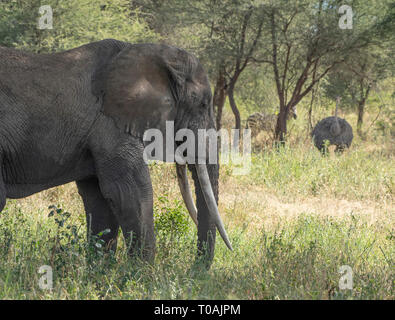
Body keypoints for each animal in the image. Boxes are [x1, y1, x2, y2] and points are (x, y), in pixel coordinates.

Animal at [0, 38, 232, 266]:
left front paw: (101, 270)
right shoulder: (111, 124)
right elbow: (129, 192)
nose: (195, 270)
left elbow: (99, 199)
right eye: (203, 104)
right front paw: (142, 274)